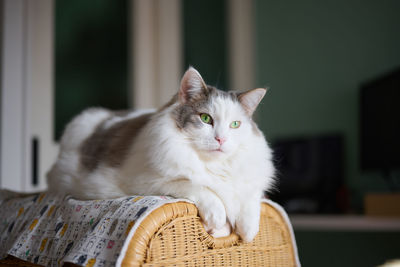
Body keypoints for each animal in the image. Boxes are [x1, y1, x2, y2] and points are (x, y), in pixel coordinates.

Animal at [45, 67, 274, 243]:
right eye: (205, 118)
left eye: (235, 124)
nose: (221, 140)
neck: (213, 165)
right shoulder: (149, 183)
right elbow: (201, 188)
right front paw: (218, 220)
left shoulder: (251, 182)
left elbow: (252, 199)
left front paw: (249, 231)